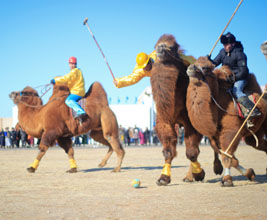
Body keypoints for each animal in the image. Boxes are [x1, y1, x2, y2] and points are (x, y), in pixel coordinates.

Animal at [151, 34, 222, 186]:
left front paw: (199, 174)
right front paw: (163, 178)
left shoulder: (191, 122)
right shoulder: (165, 121)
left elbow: (191, 152)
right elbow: (168, 150)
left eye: (172, 47)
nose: (161, 47)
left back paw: (217, 168)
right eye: (157, 44)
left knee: (213, 142)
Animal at [186, 55, 267, 186]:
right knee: (258, 143)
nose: (190, 68)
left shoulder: (231, 131)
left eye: (206, 67)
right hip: (254, 134)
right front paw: (249, 173)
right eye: (196, 62)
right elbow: (230, 157)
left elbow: (227, 156)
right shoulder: (214, 137)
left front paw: (227, 179)